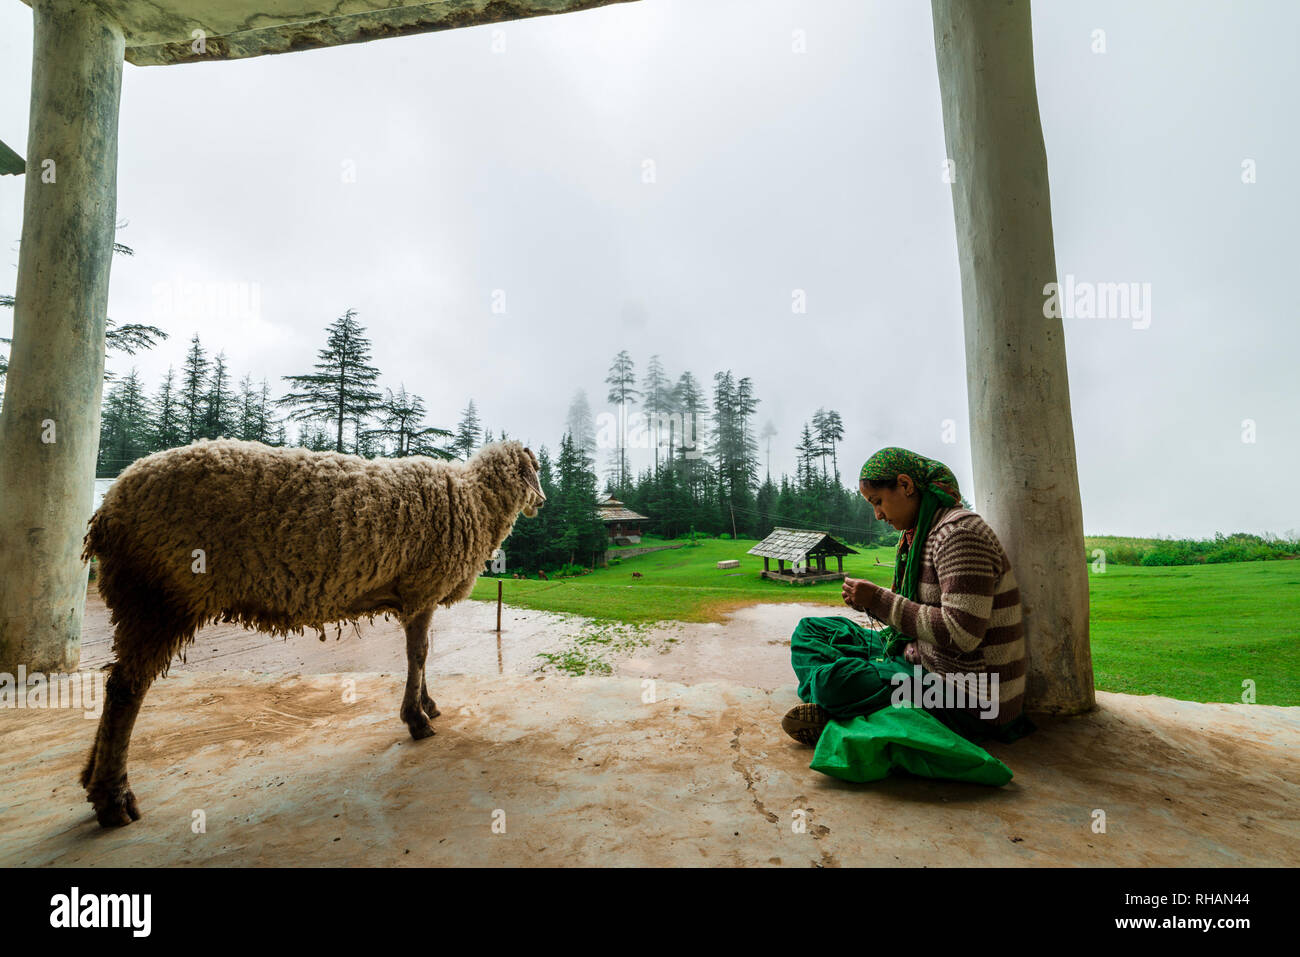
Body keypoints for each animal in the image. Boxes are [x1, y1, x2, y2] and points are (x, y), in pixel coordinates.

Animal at [79, 436, 548, 826]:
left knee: (116, 682)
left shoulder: (418, 596)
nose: (542, 501)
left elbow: (422, 655)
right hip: (161, 596)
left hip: (142, 599)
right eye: (534, 467)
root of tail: (108, 508)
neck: (476, 499)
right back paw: (114, 797)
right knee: (126, 690)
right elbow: (419, 656)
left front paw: (427, 705)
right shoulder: (422, 587)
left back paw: (92, 778)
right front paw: (416, 719)